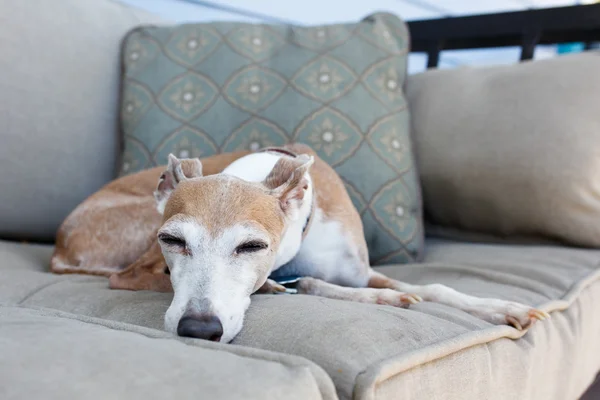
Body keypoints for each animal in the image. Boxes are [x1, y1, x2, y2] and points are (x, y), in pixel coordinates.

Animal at [51, 144, 548, 344]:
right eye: (173, 239)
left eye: (253, 247)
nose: (199, 330)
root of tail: (58, 246)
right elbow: (309, 283)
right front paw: (384, 300)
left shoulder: (358, 269)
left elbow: (433, 287)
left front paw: (500, 307)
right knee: (126, 277)